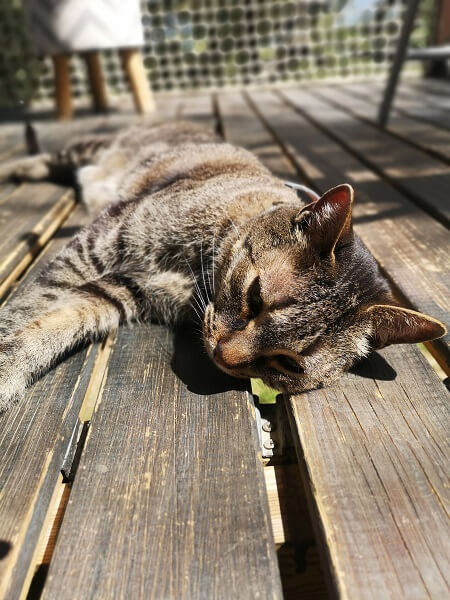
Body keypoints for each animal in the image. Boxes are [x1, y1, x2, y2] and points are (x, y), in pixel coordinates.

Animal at [0, 120, 444, 412]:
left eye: (289, 363)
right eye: (255, 297)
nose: (223, 356)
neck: (196, 276)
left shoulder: (123, 289)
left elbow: (56, 326)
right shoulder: (101, 241)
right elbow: (29, 306)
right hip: (95, 150)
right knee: (55, 157)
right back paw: (15, 168)